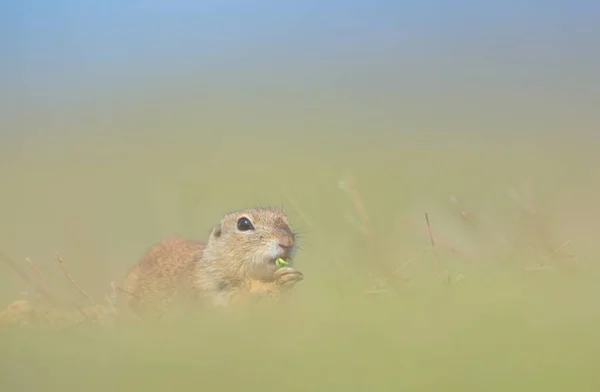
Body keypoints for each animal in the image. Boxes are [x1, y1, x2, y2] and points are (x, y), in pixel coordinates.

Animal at [117, 207, 304, 320]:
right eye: (243, 224)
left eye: (286, 220)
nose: (287, 241)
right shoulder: (206, 286)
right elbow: (231, 305)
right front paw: (274, 284)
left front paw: (288, 278)